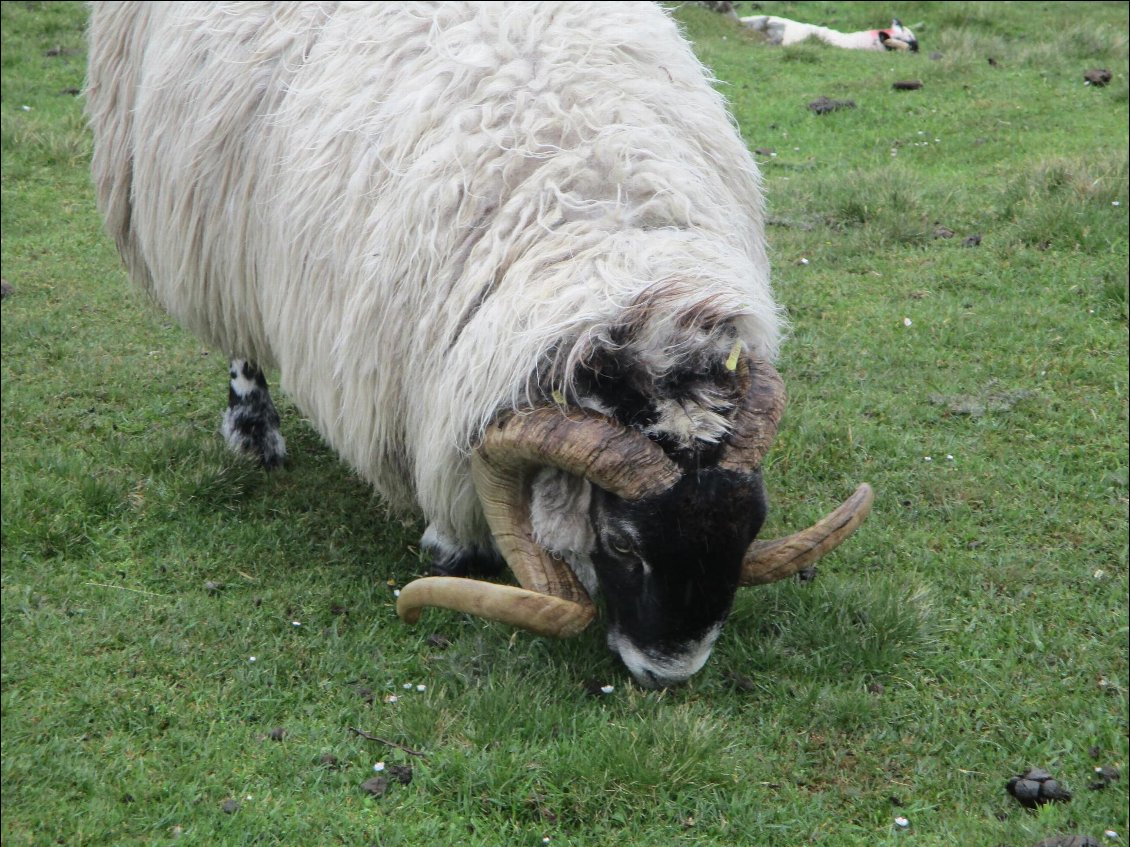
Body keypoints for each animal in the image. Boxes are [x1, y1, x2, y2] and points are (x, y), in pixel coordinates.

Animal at [88, 1, 872, 691]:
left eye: (750, 527)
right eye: (622, 544)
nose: (669, 673)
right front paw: (451, 542)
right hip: (210, 221)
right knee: (241, 334)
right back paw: (254, 433)